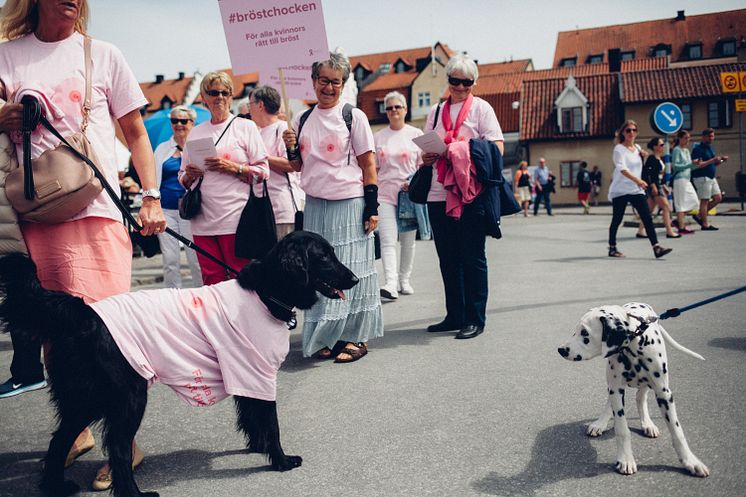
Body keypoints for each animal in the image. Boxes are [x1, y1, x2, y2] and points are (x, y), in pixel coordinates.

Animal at [0, 231, 358, 494]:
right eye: (324, 255)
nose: (354, 278)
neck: (264, 293)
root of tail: (84, 312)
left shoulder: (246, 372)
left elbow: (252, 417)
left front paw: (259, 448)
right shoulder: (258, 373)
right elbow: (271, 423)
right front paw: (281, 461)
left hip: (83, 398)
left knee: (59, 440)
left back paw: (55, 486)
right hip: (127, 396)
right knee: (116, 448)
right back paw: (133, 494)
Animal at [560, 300, 708, 474]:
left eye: (585, 333)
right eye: (576, 330)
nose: (561, 349)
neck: (634, 347)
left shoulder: (664, 393)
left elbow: (677, 431)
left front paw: (690, 461)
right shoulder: (616, 389)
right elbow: (622, 429)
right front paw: (626, 459)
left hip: (648, 384)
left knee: (640, 397)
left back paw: (647, 424)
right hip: (612, 382)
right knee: (612, 401)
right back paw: (600, 423)